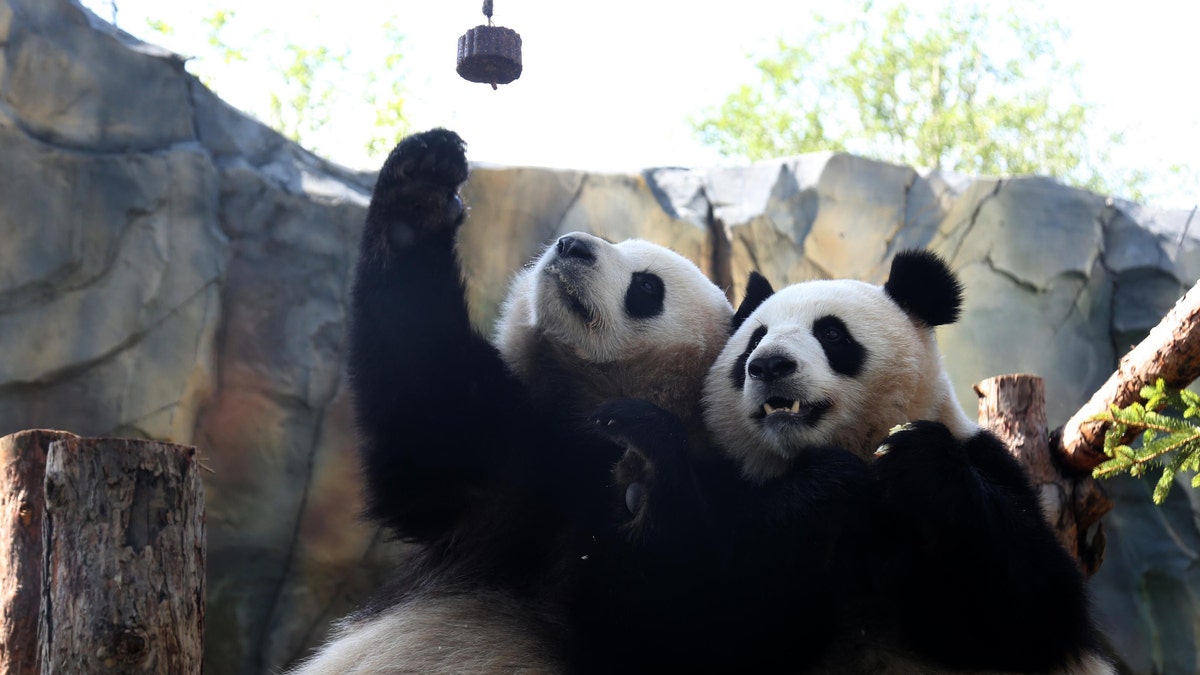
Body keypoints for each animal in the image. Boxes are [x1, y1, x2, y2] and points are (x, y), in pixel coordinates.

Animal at [286, 127, 734, 672]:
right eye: (611, 242)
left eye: (647, 286)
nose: (572, 245)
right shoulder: (508, 457)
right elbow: (425, 395)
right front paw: (422, 185)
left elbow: (670, 626)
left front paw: (643, 468)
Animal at [590, 249, 1113, 667]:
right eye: (753, 340)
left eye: (832, 334)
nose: (769, 365)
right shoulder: (732, 486)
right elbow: (709, 620)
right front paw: (826, 484)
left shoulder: (989, 463)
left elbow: (1034, 609)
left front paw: (917, 459)